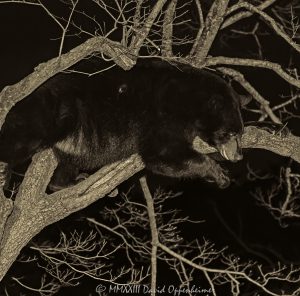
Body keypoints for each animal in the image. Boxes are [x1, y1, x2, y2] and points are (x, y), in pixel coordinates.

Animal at [0, 59, 244, 190]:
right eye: (232, 133)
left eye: (240, 134)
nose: (239, 156)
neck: (189, 97)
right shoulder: (164, 114)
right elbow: (162, 152)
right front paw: (220, 174)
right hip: (53, 110)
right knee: (22, 136)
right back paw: (5, 169)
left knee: (67, 163)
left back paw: (68, 181)